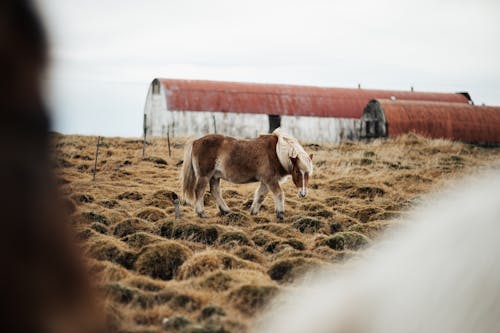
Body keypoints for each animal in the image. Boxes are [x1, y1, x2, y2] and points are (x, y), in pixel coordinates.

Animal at [180, 128, 312, 219]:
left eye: (308, 173)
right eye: (297, 171)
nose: (303, 193)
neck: (276, 153)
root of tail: (196, 141)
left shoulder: (265, 182)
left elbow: (260, 196)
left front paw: (253, 212)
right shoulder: (271, 180)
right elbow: (279, 194)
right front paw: (280, 214)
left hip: (214, 177)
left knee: (215, 192)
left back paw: (226, 211)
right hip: (204, 176)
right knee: (199, 191)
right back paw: (201, 213)